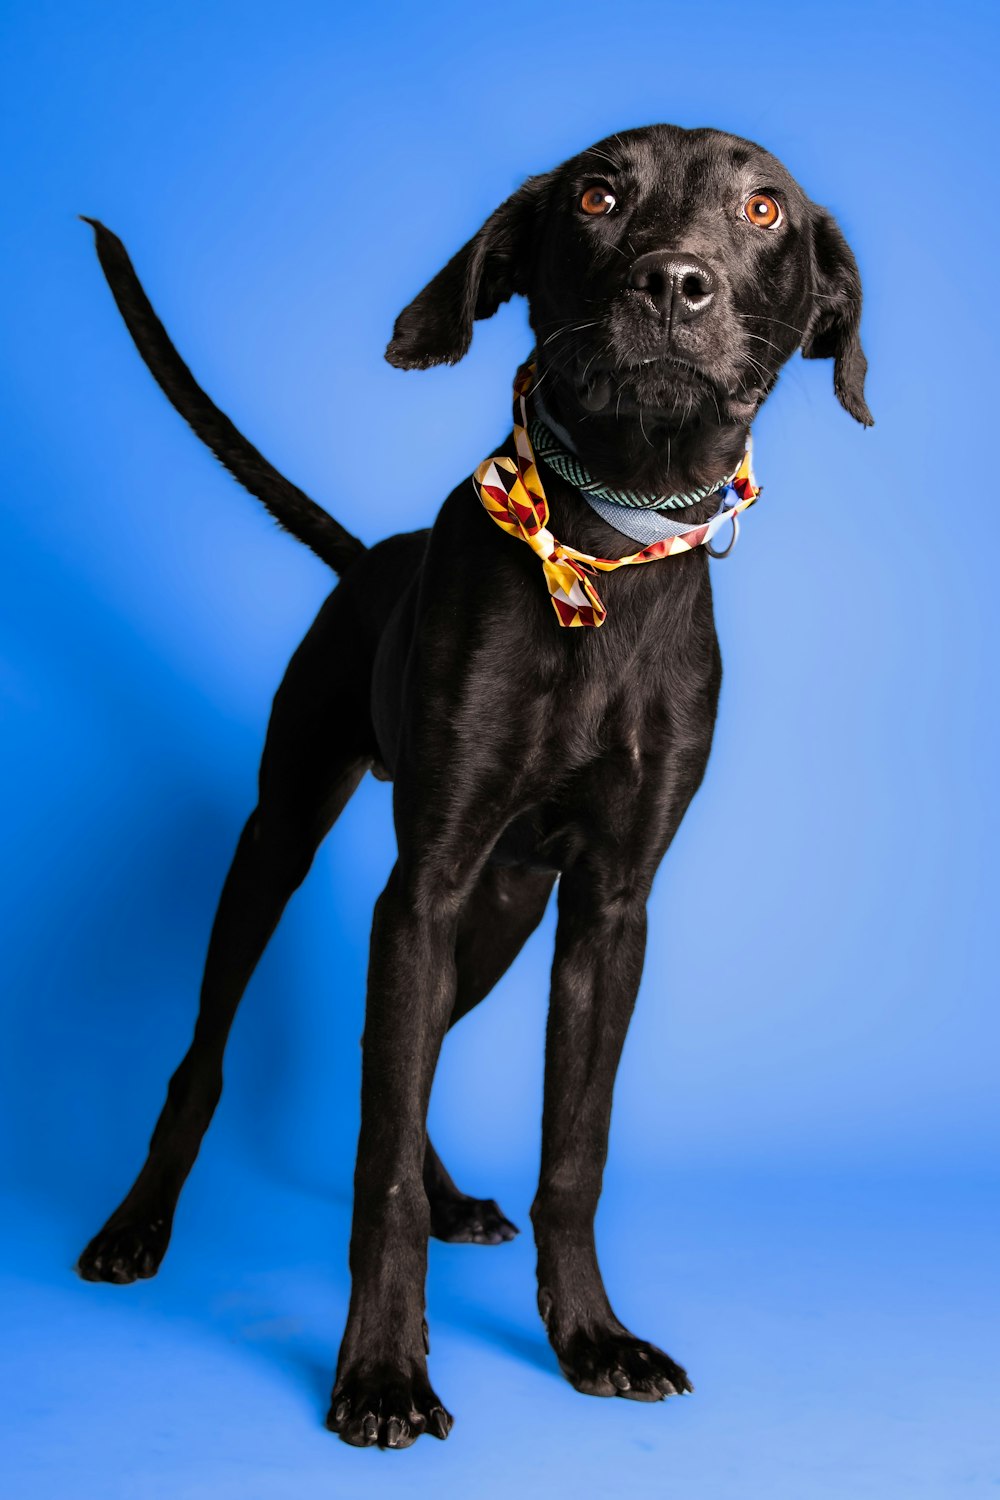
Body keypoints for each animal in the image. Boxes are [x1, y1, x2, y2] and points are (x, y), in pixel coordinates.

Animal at [76, 123, 869, 1446]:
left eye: (762, 209)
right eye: (597, 195)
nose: (674, 283)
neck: (599, 553)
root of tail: (370, 561)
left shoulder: (606, 911)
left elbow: (571, 1150)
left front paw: (591, 1337)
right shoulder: (424, 885)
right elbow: (378, 1163)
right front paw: (383, 1372)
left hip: (501, 911)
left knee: (408, 1054)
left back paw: (456, 1200)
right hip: (285, 843)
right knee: (220, 1053)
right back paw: (138, 1225)